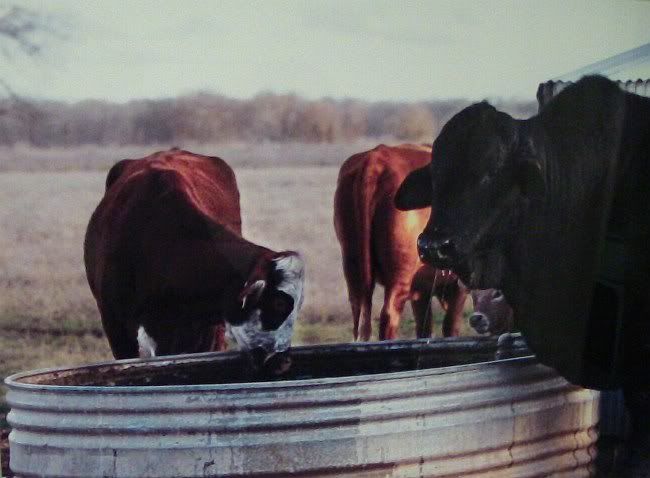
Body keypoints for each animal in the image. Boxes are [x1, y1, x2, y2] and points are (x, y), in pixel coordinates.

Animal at [334, 144, 466, 342]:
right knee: (389, 315)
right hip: (400, 275)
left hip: (353, 267)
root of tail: (376, 159)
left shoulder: (422, 291)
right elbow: (451, 327)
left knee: (359, 316)